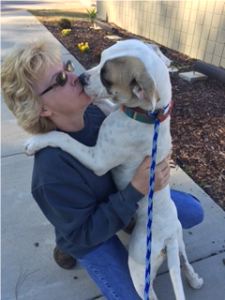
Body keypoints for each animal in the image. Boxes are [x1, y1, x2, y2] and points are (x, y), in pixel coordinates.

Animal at [25, 39, 204, 300]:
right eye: (99, 59)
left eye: (106, 78)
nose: (81, 79)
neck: (150, 115)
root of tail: (169, 235)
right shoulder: (114, 113)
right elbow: (108, 105)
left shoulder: (97, 159)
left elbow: (63, 138)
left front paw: (36, 142)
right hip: (179, 239)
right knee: (185, 261)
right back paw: (195, 280)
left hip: (139, 263)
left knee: (148, 293)